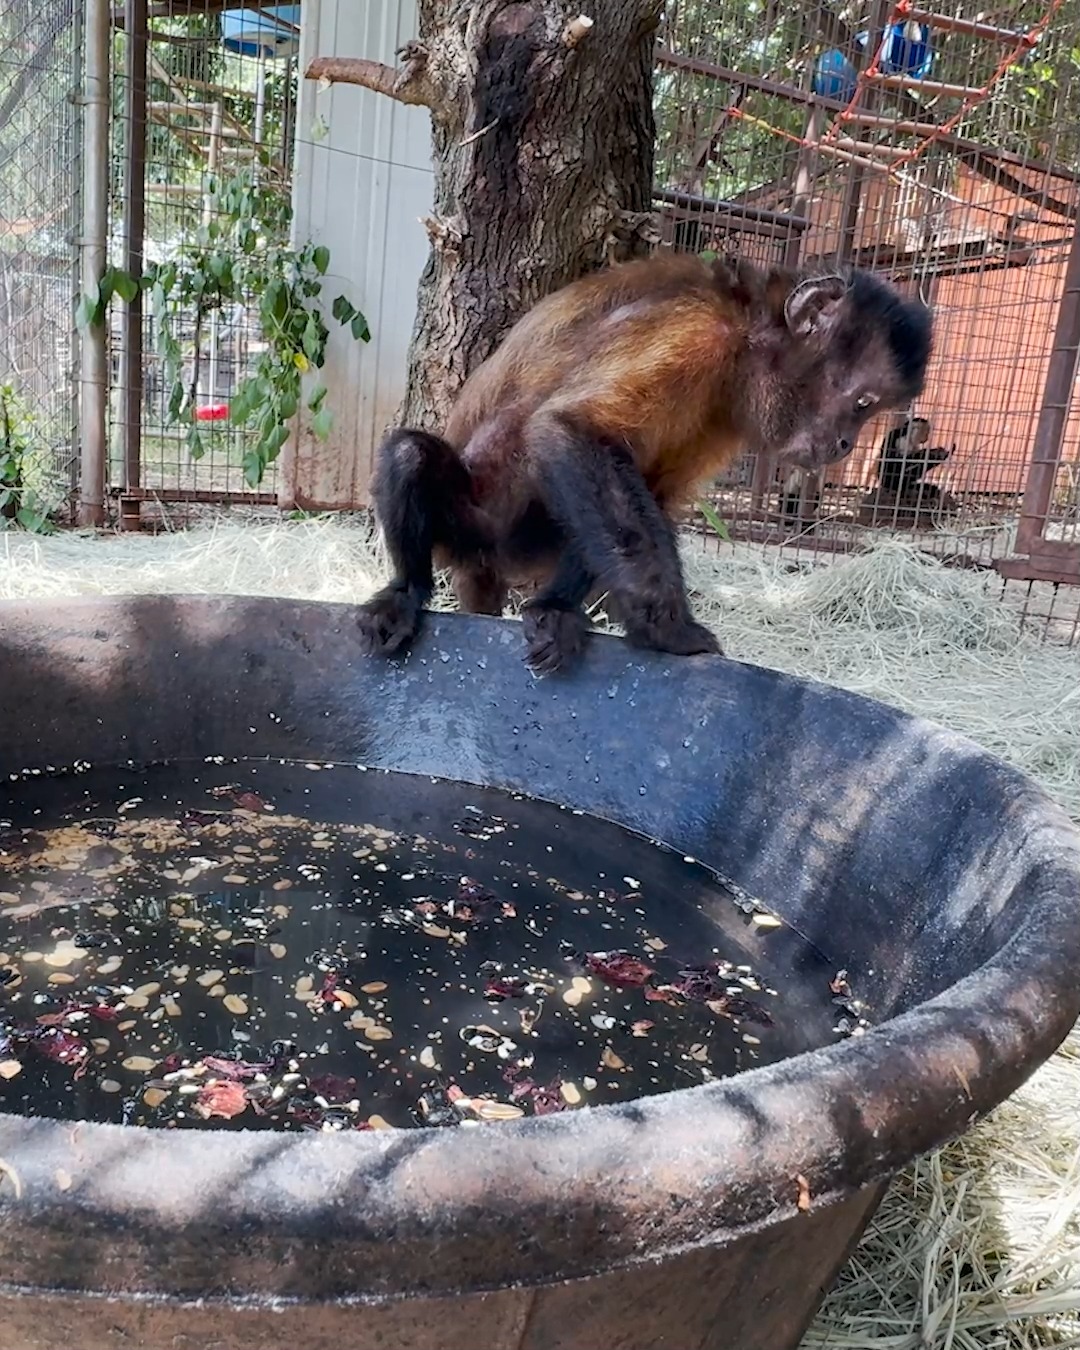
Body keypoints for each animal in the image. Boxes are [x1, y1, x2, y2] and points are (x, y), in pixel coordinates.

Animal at [357, 251, 933, 674]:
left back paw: (553, 611)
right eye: (862, 404)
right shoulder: (692, 333)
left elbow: (648, 491)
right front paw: (670, 631)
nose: (847, 444)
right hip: (472, 537)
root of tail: (489, 566)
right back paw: (405, 594)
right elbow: (569, 429)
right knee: (411, 455)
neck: (744, 331)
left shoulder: (726, 407)